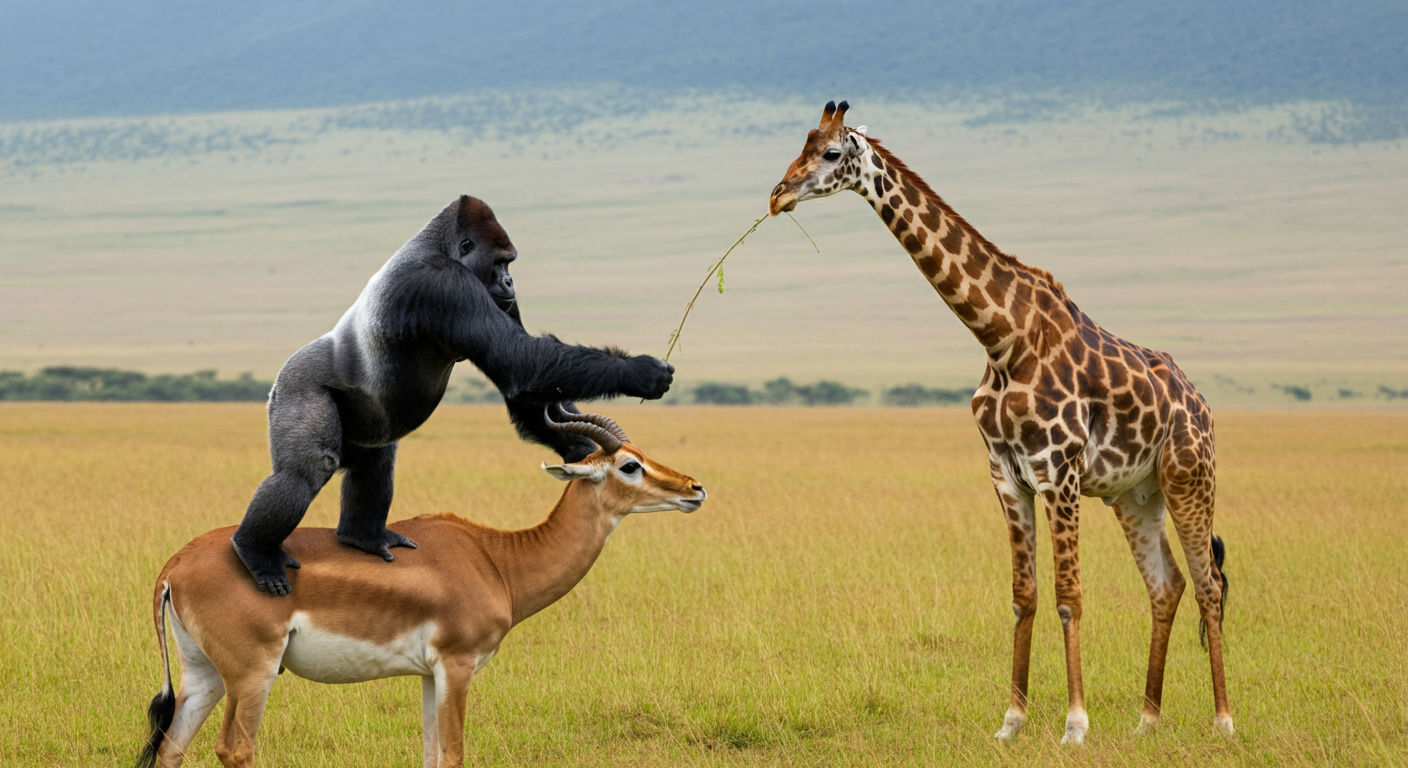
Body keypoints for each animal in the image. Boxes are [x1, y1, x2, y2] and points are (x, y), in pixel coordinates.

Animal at [136, 406, 705, 768]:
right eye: (629, 465)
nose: (695, 489)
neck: (497, 561)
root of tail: (175, 566)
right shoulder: (457, 665)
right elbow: (453, 755)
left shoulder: (430, 675)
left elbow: (431, 755)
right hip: (253, 674)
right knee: (235, 749)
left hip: (204, 675)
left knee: (170, 748)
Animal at [768, 101, 1232, 743]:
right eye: (801, 145)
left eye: (831, 152)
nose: (777, 195)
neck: (1001, 337)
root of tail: (1202, 402)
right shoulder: (1007, 474)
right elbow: (1024, 594)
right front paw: (1011, 721)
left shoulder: (1059, 471)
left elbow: (1068, 595)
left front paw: (1075, 724)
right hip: (1136, 494)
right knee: (1167, 585)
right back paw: (1146, 721)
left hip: (1190, 478)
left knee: (1208, 583)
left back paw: (1223, 720)